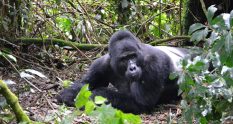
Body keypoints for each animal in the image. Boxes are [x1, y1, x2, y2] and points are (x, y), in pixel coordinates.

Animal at [57, 29, 189, 113]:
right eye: (124, 58)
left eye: (133, 56)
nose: (132, 68)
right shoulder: (101, 63)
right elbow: (85, 84)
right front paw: (68, 94)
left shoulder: (153, 63)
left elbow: (140, 103)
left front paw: (96, 96)